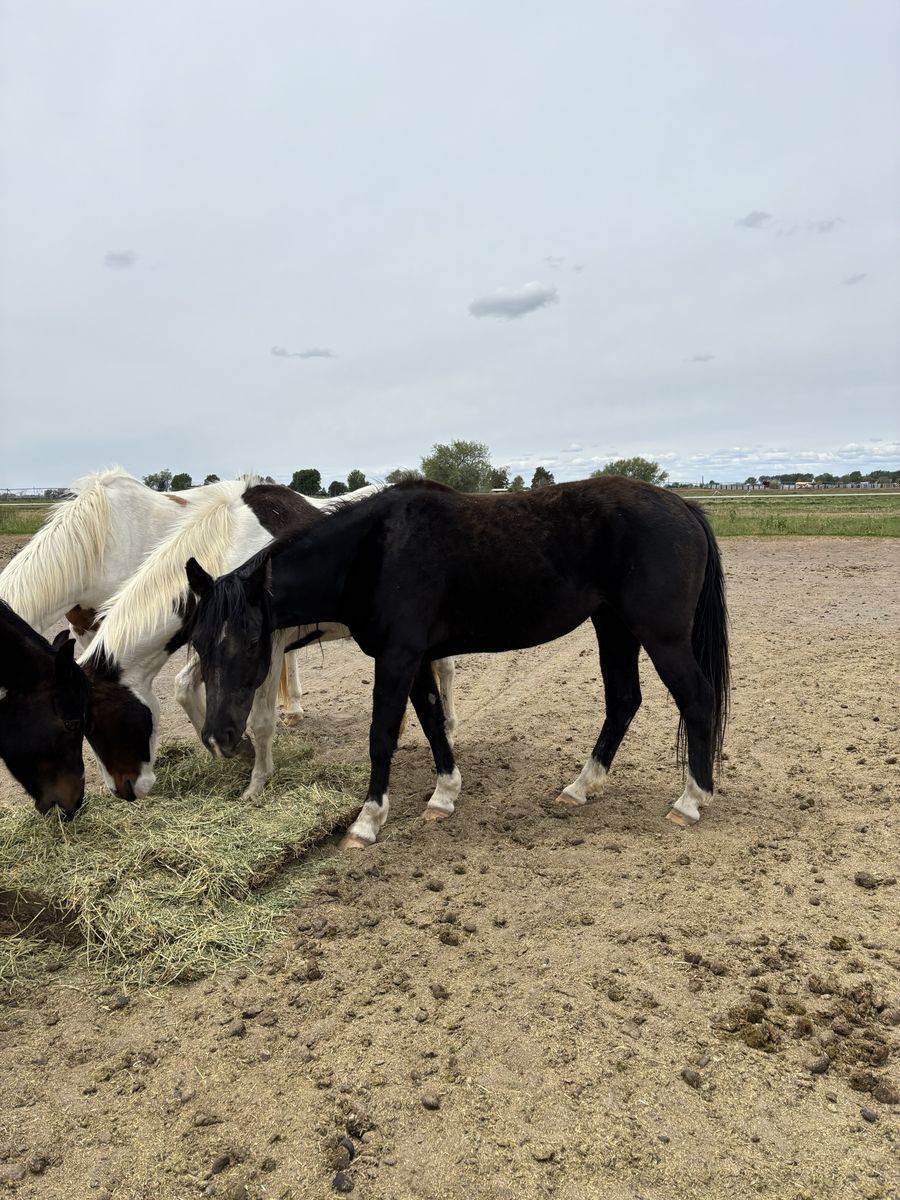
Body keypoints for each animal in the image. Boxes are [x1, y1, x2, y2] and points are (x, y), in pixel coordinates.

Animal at [81, 480, 456, 800]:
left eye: (96, 723)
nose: (123, 791)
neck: (229, 549)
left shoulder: (267, 648)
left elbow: (261, 719)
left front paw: (257, 781)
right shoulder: (215, 646)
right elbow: (184, 686)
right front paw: (237, 750)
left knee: (446, 670)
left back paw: (450, 729)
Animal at [185, 477, 729, 848]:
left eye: (250, 640)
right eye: (200, 642)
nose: (218, 737)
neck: (375, 550)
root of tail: (684, 507)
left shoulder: (398, 657)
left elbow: (383, 734)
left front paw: (368, 821)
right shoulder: (418, 658)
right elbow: (430, 720)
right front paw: (444, 795)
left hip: (661, 636)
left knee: (697, 700)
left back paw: (690, 801)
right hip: (613, 627)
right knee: (623, 700)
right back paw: (581, 787)